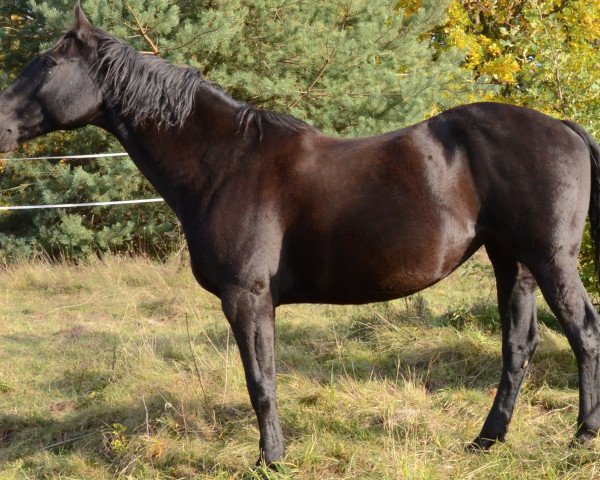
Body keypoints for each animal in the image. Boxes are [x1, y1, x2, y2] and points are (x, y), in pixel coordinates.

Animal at [1, 2, 600, 462]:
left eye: (49, 63)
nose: (1, 126)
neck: (226, 162)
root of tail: (561, 127)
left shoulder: (247, 298)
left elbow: (261, 384)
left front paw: (271, 459)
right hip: (512, 262)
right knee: (518, 346)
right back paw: (486, 440)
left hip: (550, 258)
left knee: (583, 332)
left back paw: (582, 435)